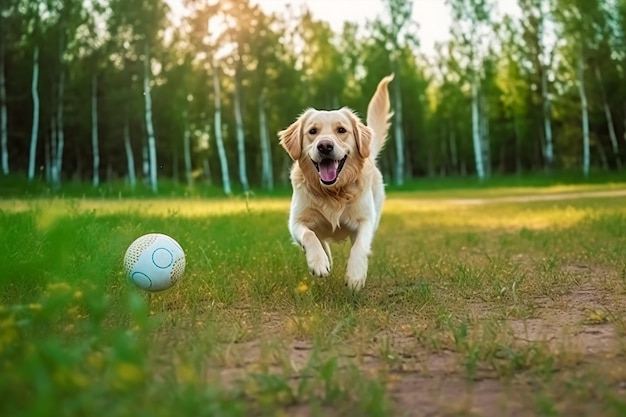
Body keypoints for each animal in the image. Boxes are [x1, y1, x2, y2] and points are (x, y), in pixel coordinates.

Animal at [280, 75, 392, 290]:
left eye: (341, 130)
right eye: (312, 131)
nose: (325, 146)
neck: (333, 192)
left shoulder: (366, 220)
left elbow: (360, 246)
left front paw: (355, 275)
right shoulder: (296, 221)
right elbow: (310, 235)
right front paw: (319, 262)